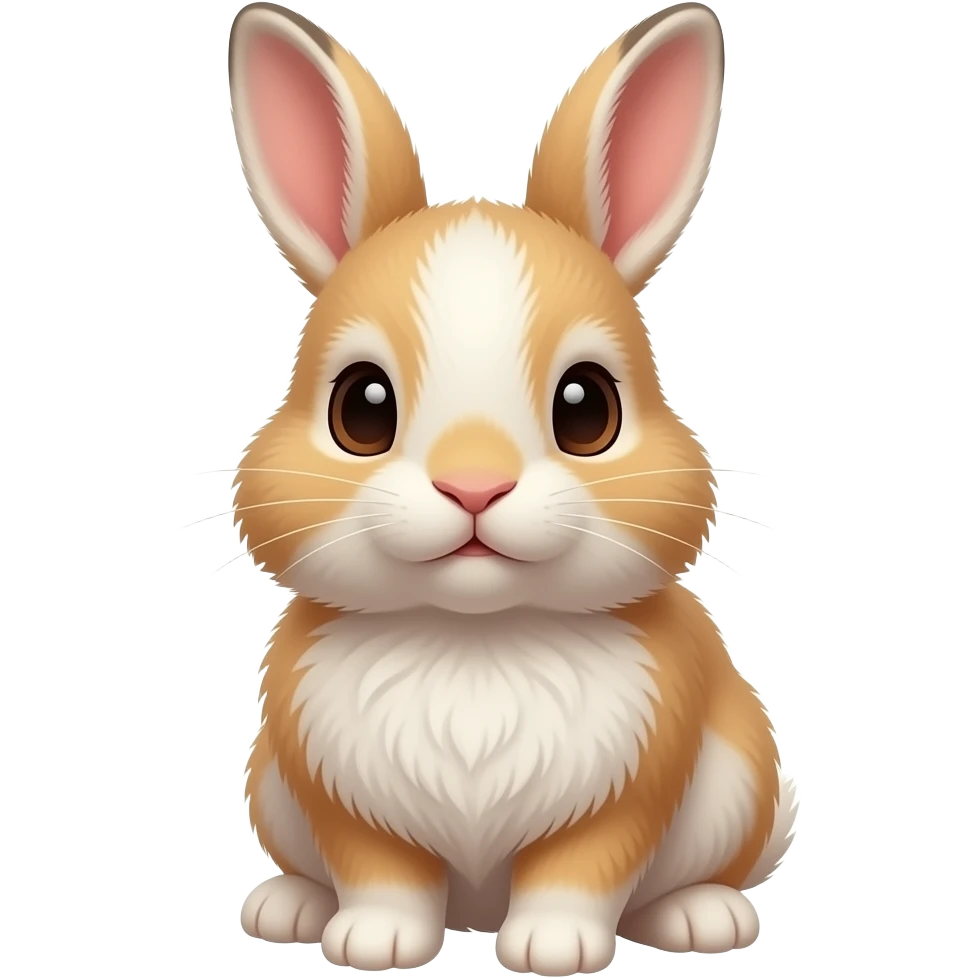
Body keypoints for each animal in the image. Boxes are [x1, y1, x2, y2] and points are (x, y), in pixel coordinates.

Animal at [226, 2, 797, 975]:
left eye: (588, 408)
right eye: (360, 408)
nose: (474, 486)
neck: (475, 640)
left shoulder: (630, 792)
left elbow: (581, 869)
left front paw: (554, 950)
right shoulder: (338, 795)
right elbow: (379, 871)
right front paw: (375, 942)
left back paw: (702, 920)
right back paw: (289, 908)